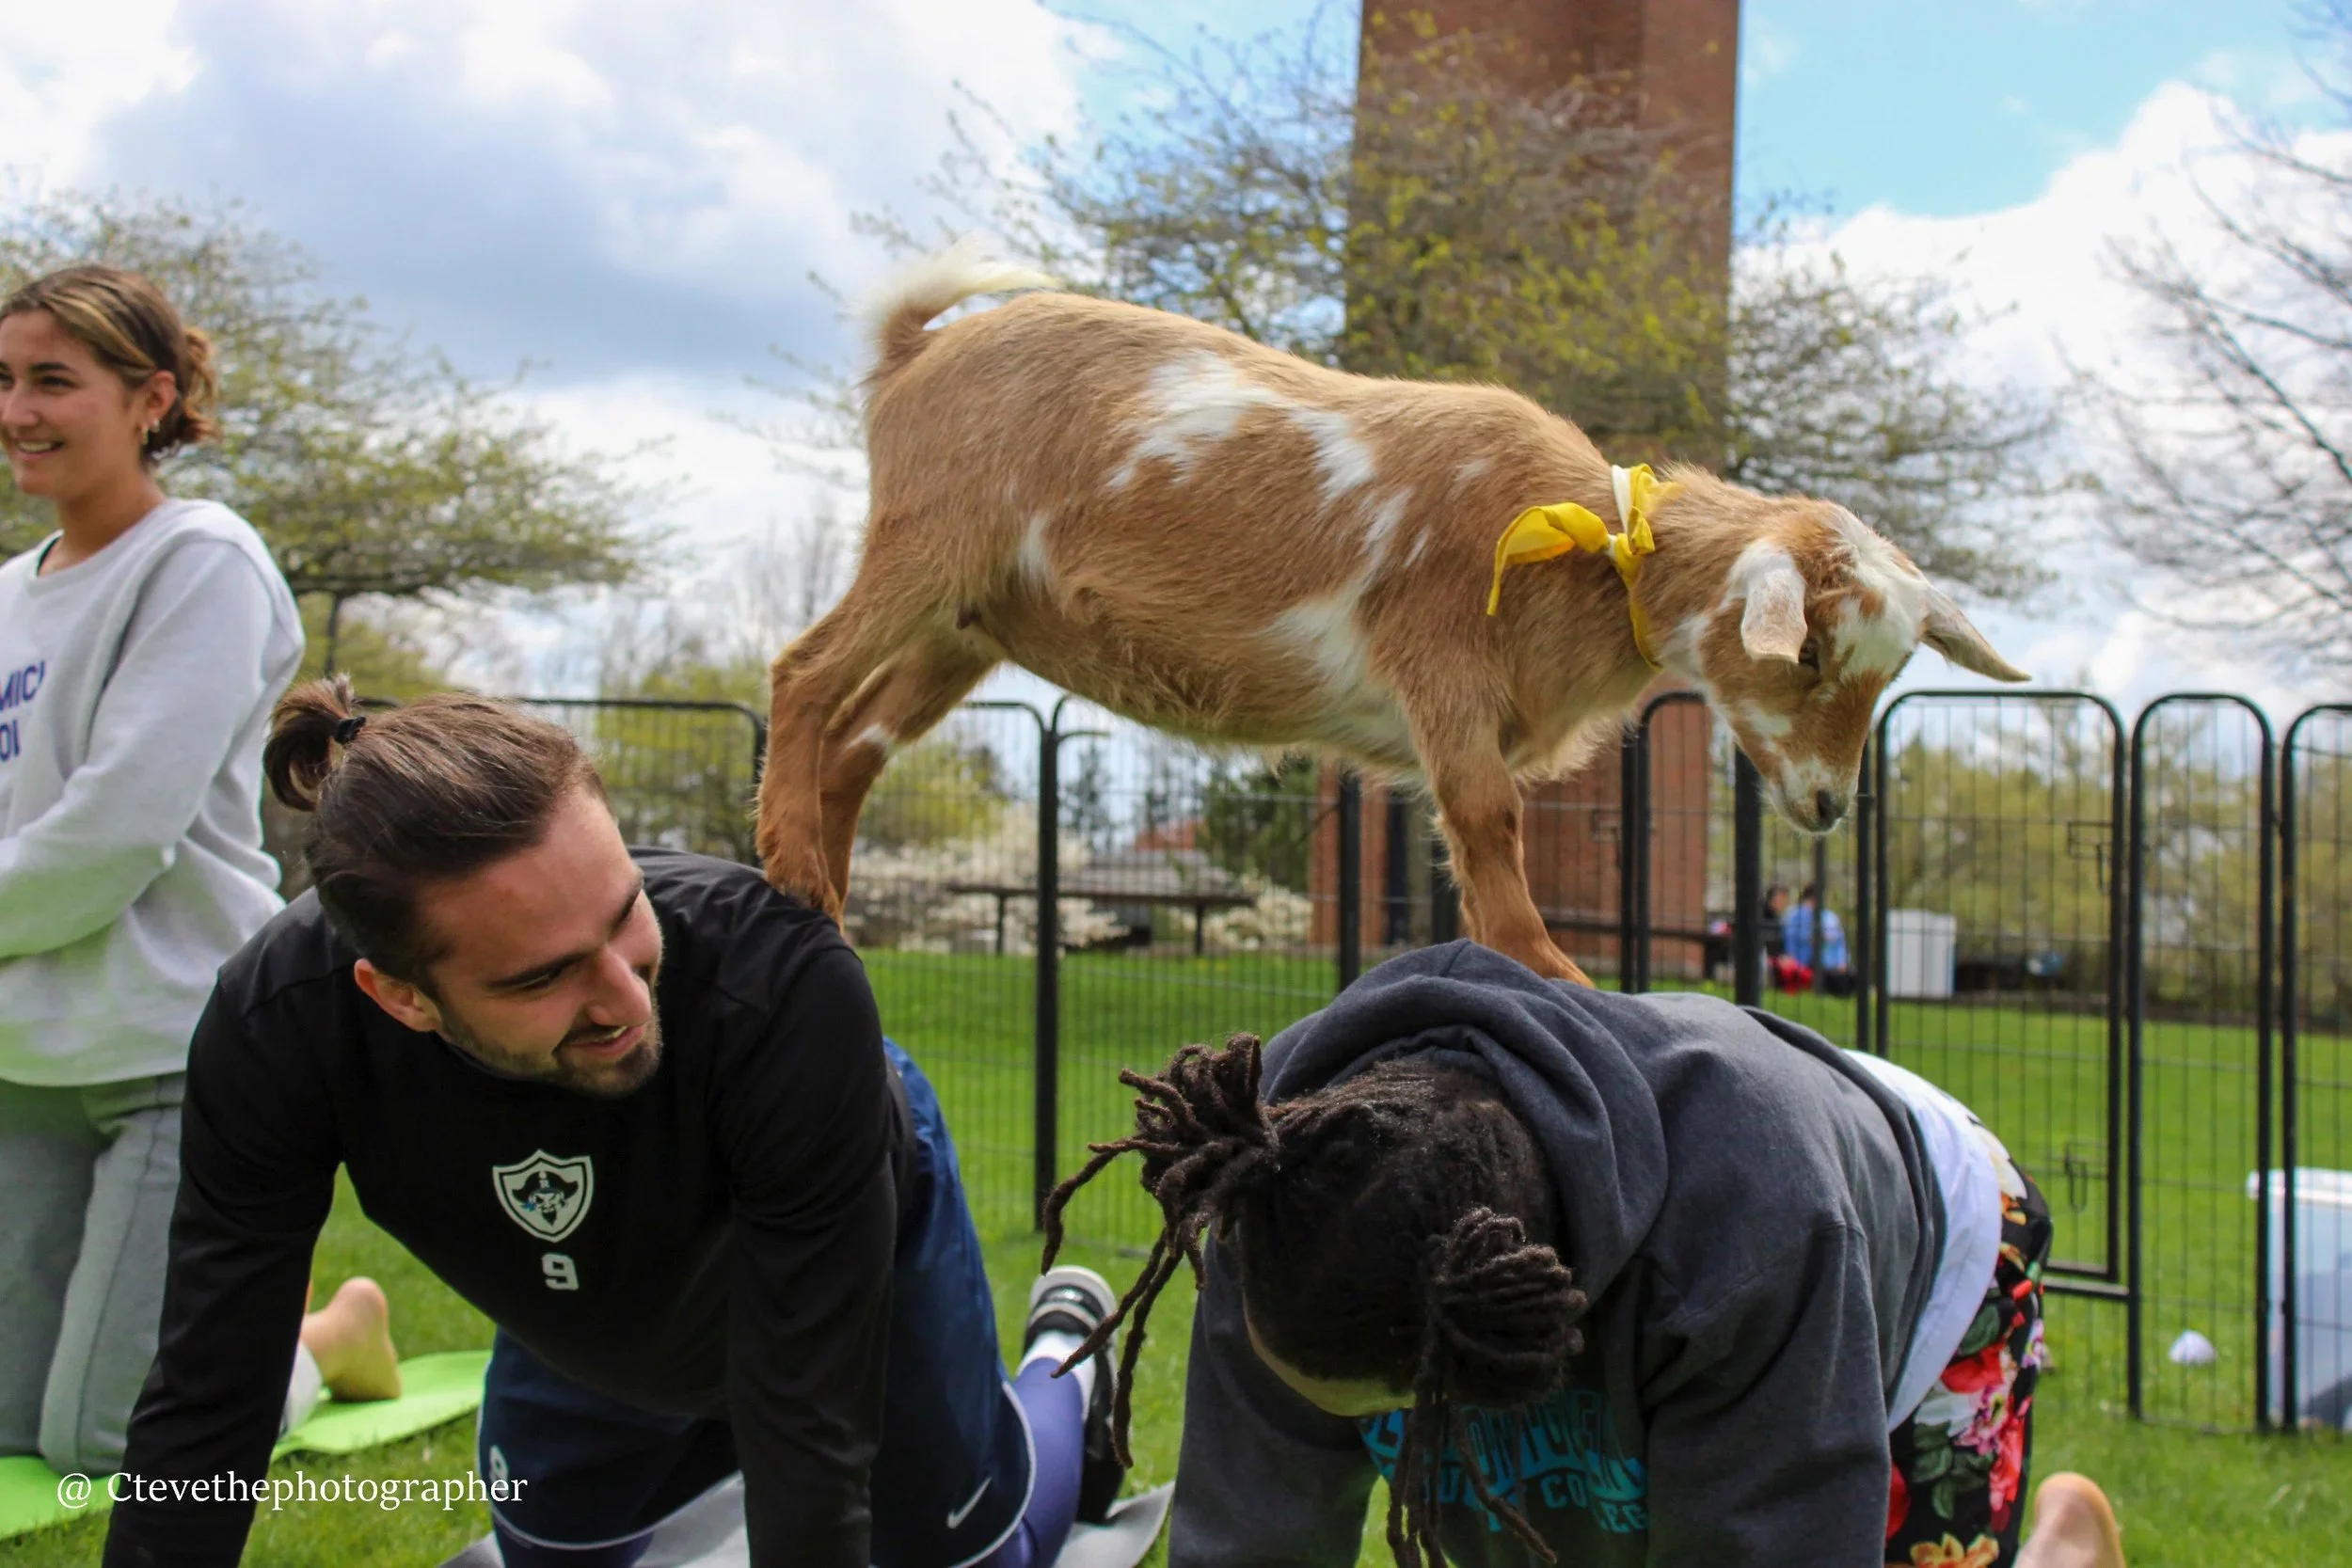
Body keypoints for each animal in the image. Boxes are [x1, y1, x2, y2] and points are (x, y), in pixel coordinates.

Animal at [756, 241, 2028, 984]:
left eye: (1888, 670)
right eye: (1806, 649)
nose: (1825, 804)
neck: (1592, 543)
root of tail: (914, 353)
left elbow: (1461, 843)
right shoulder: (1439, 662)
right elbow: (1487, 819)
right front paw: (1554, 973)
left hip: (968, 625)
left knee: (856, 744)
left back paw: (828, 900)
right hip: (927, 544)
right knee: (802, 673)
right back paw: (793, 869)